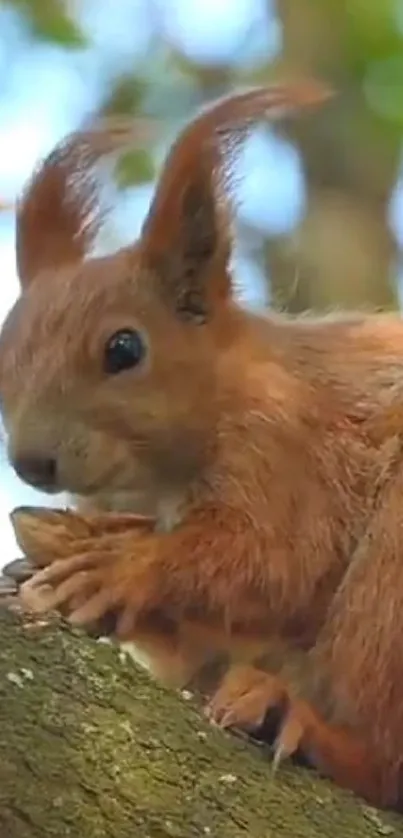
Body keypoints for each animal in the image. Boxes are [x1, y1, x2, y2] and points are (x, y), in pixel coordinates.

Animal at [0, 80, 403, 812]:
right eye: (3, 352)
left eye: (123, 348)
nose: (30, 463)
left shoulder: (289, 444)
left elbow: (275, 560)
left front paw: (122, 567)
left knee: (384, 761)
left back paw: (301, 724)